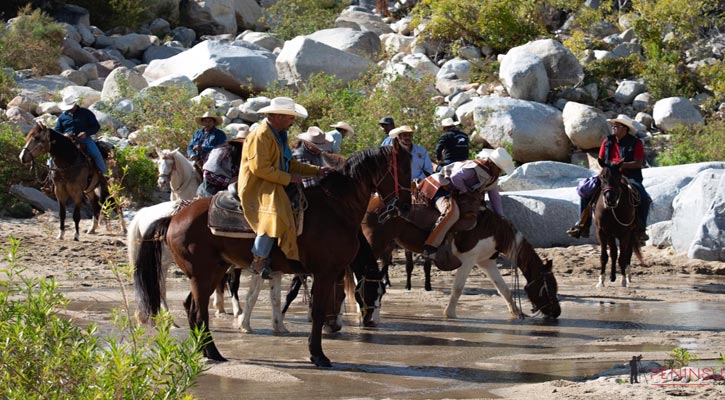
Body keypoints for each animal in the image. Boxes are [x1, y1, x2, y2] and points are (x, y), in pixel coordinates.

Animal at [133, 142, 410, 368]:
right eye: (403, 170)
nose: (405, 206)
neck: (336, 208)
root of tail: (174, 217)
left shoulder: (318, 272)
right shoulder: (324, 272)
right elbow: (317, 310)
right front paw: (318, 355)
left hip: (210, 273)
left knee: (191, 307)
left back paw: (208, 352)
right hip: (202, 274)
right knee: (198, 311)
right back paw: (213, 352)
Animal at [360, 205, 560, 320]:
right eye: (550, 286)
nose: (557, 312)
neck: (494, 231)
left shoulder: (486, 261)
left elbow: (503, 289)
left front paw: (516, 313)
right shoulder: (468, 260)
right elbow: (457, 288)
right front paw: (450, 313)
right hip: (374, 245)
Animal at [592, 159, 644, 288]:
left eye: (617, 177)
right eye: (601, 177)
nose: (609, 198)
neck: (612, 210)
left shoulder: (625, 233)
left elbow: (623, 257)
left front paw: (624, 280)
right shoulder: (602, 232)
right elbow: (604, 256)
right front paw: (601, 281)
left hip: (631, 233)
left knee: (627, 253)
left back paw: (628, 276)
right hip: (611, 235)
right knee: (614, 252)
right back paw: (612, 276)